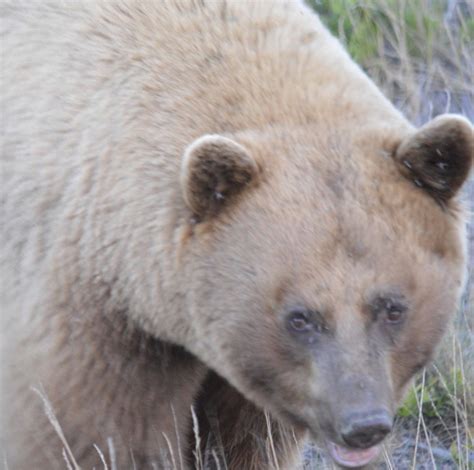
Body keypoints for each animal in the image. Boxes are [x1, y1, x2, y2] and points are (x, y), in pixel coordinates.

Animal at [0, 0, 470, 468]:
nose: (362, 423)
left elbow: (245, 438)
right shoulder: (90, 308)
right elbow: (94, 436)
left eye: (393, 307)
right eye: (299, 317)